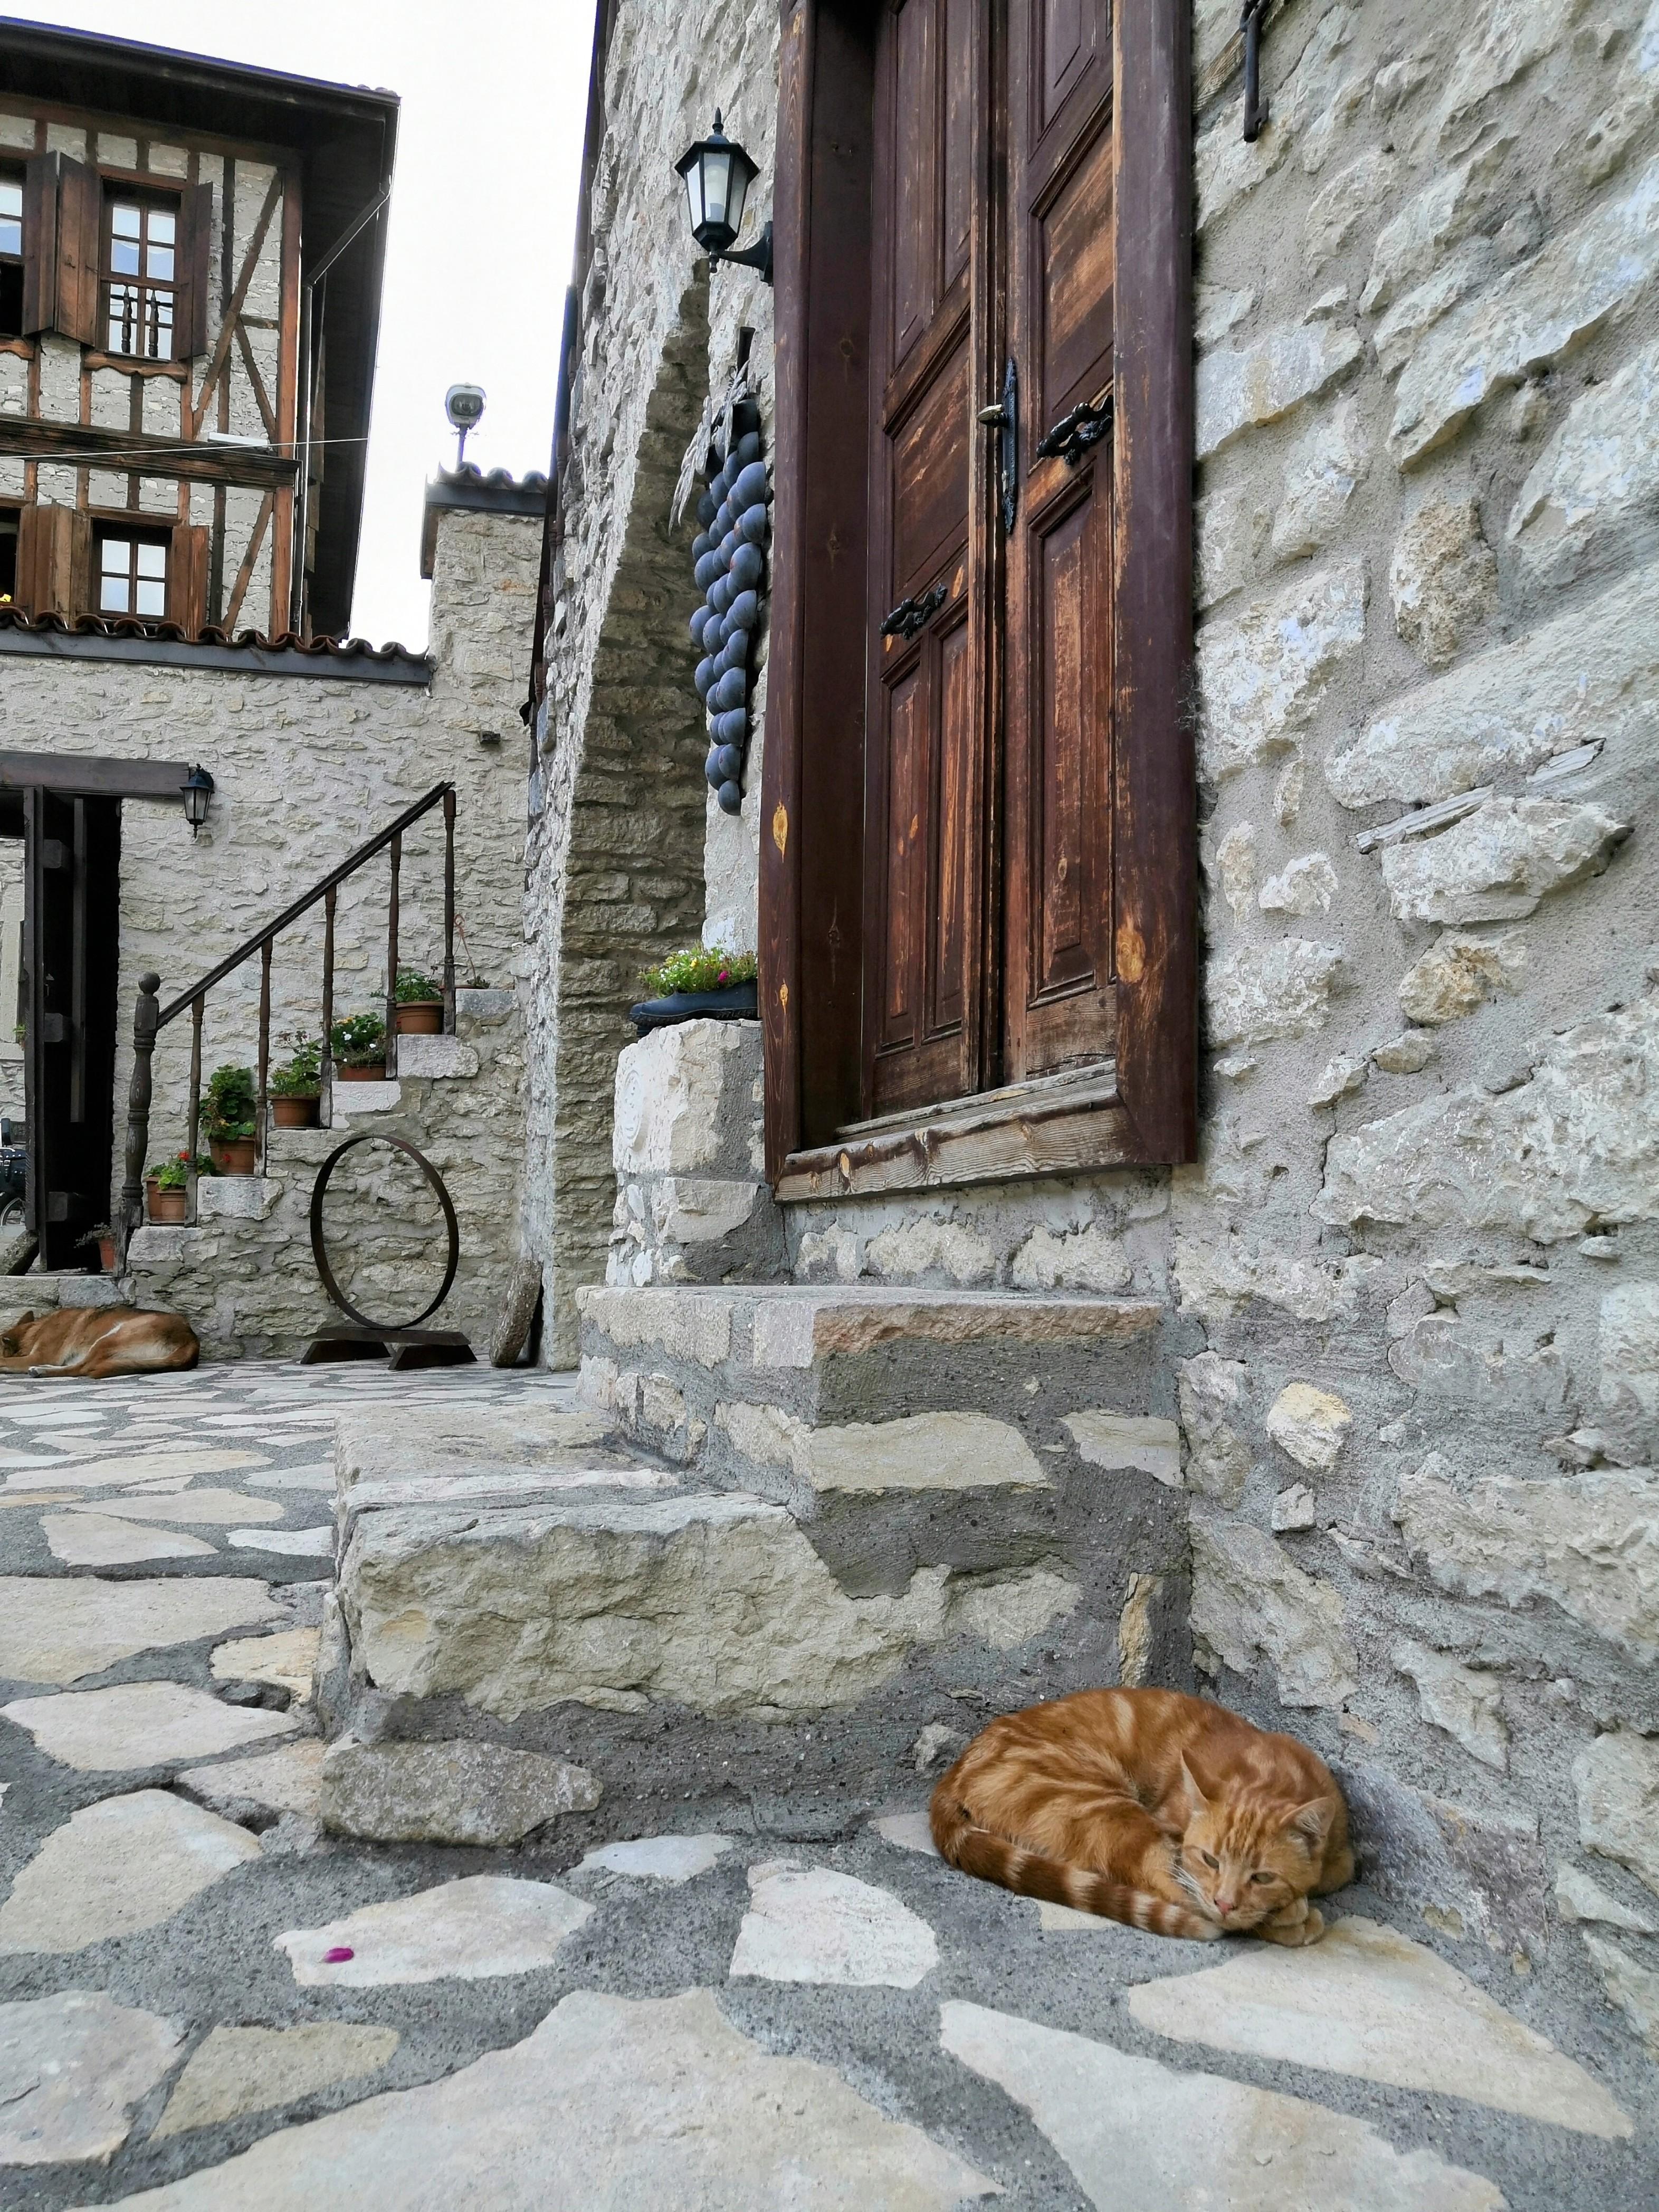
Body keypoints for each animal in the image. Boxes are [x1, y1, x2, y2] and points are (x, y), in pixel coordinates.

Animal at [0, 1300, 200, 1371]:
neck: (34, 1331)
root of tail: (190, 1339)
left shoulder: (39, 1356)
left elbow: (5, 1361)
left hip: (111, 1336)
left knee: (82, 1369)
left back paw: (43, 1371)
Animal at [938, 1690, 1353, 1938]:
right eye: (1210, 1860)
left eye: (1263, 1877)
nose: (1225, 1902)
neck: (1276, 1775)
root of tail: (953, 1773)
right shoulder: (1170, 1828)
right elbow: (1193, 1889)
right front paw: (1285, 1915)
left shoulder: (1343, 1852)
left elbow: (1338, 1871)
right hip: (1109, 1809)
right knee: (1168, 1892)